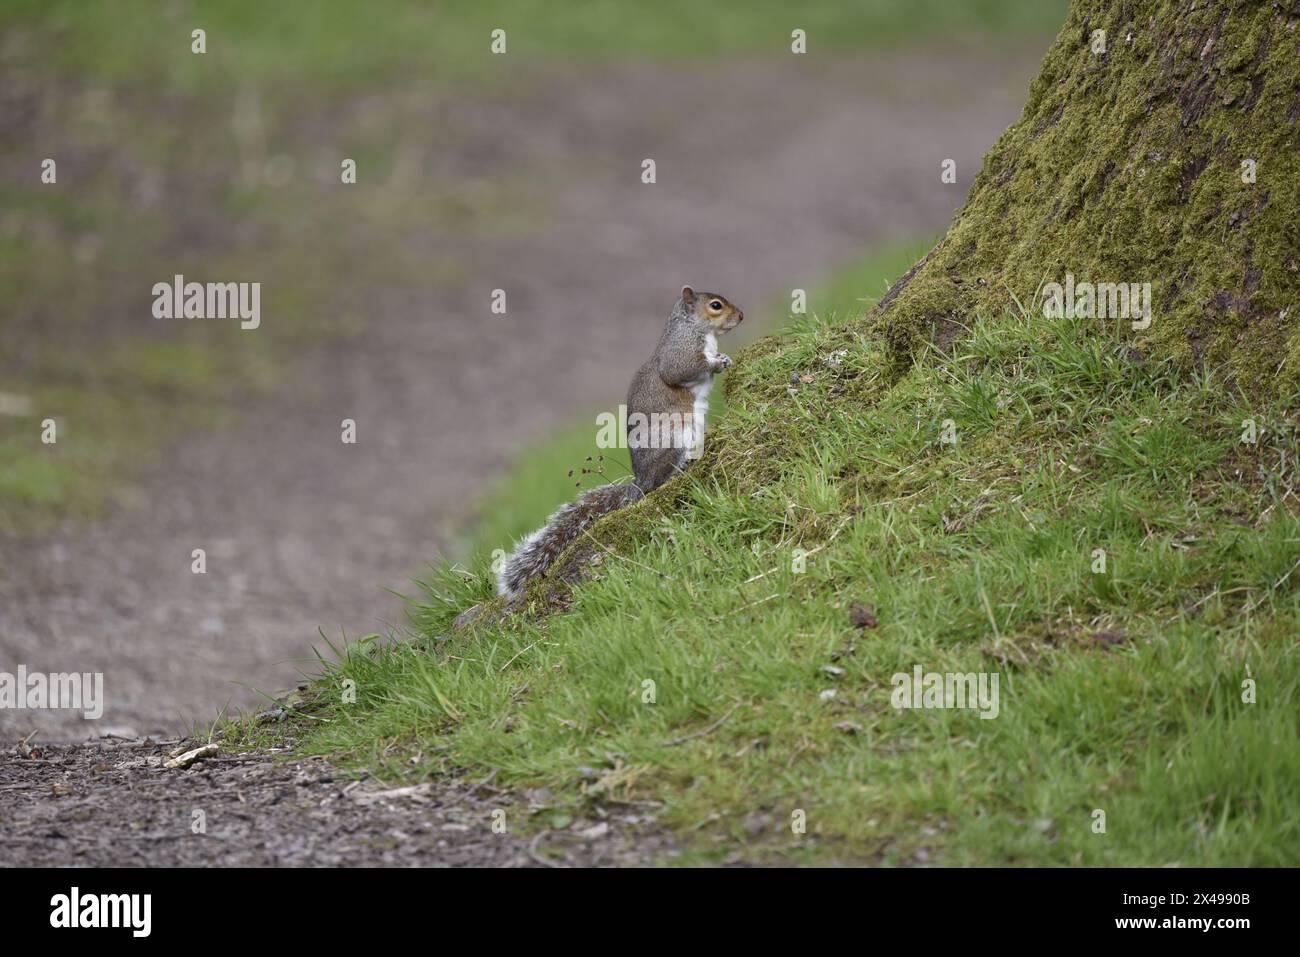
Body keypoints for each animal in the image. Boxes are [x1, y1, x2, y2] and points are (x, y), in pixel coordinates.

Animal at [493, 286, 748, 598]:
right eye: (715, 305)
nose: (741, 315)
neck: (693, 328)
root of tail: (641, 481)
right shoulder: (680, 352)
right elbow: (681, 370)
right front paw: (717, 362)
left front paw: (726, 359)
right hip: (671, 439)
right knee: (660, 481)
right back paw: (681, 467)